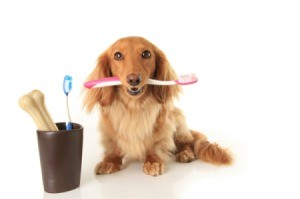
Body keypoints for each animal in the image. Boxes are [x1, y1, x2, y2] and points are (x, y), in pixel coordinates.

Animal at [83, 35, 233, 176]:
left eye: (146, 54)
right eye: (118, 55)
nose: (134, 79)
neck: (134, 106)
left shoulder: (162, 125)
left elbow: (155, 145)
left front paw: (153, 162)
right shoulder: (110, 129)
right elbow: (113, 147)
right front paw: (110, 162)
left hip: (177, 120)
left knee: (184, 143)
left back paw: (185, 153)